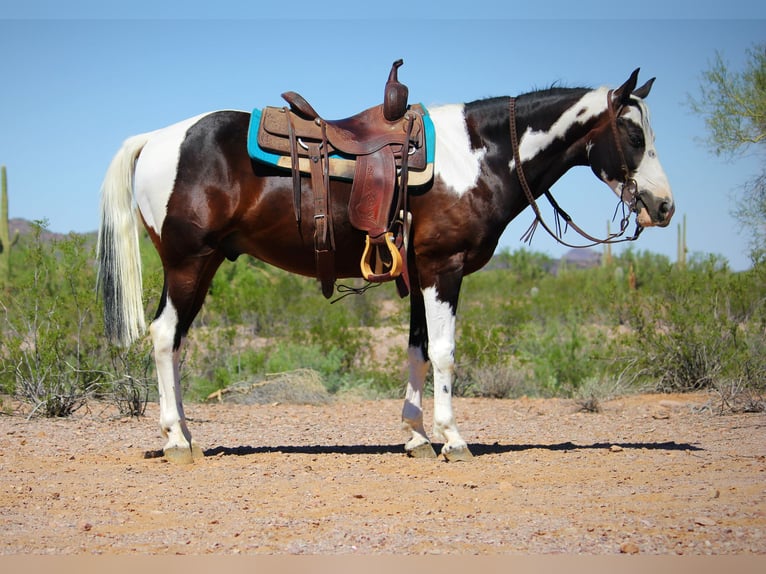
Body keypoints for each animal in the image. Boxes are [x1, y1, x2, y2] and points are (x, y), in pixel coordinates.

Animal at [97, 68, 674, 464]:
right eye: (635, 135)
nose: (664, 207)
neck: (478, 156)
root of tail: (155, 139)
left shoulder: (419, 275)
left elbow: (417, 351)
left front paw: (417, 437)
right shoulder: (445, 269)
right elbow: (444, 354)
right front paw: (453, 439)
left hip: (203, 263)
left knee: (174, 342)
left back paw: (187, 436)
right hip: (189, 262)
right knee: (164, 337)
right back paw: (176, 440)